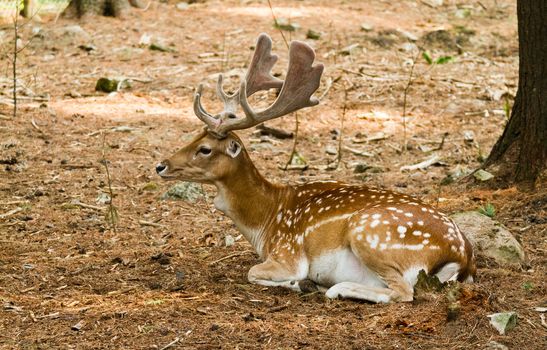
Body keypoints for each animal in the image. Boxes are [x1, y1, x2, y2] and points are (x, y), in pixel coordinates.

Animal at [155, 33, 476, 304]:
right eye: (193, 136)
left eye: (205, 149)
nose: (161, 165)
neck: (266, 222)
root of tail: (462, 256)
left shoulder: (288, 254)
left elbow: (253, 272)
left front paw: (299, 283)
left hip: (369, 233)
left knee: (403, 292)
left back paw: (332, 287)